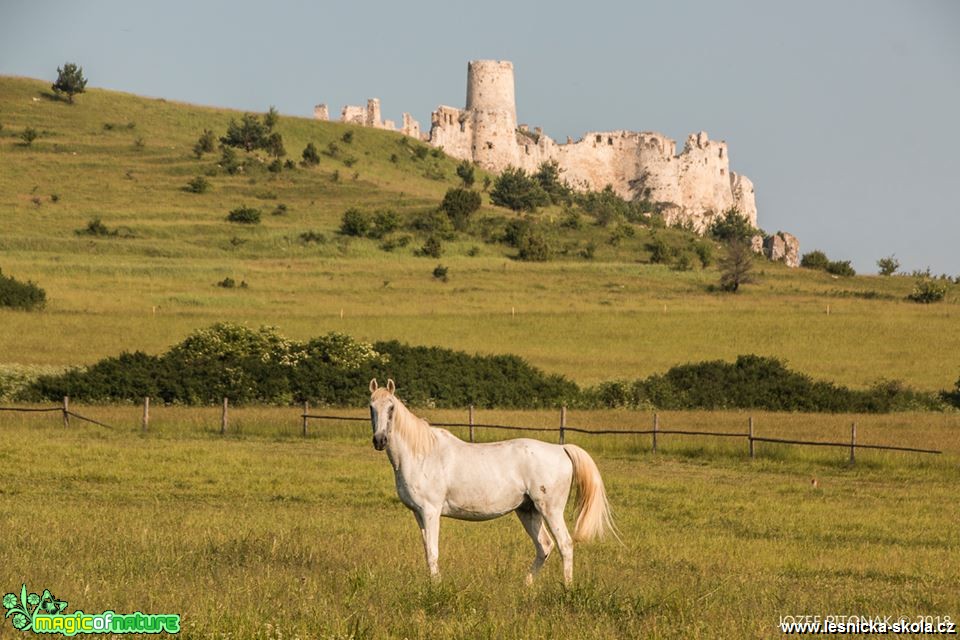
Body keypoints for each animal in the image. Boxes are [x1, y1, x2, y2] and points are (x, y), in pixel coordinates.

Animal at [368, 380, 616, 584]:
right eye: (371, 407)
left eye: (391, 407)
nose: (380, 440)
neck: (422, 454)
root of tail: (561, 449)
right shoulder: (418, 514)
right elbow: (427, 551)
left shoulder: (431, 512)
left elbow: (433, 552)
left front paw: (436, 588)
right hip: (528, 511)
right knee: (544, 546)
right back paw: (526, 585)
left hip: (550, 510)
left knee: (565, 545)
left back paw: (567, 588)